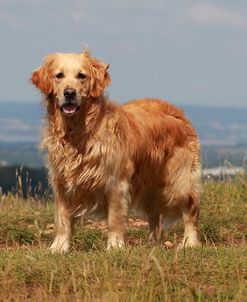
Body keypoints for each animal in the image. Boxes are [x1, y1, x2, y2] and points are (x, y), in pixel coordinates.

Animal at [31, 49, 201, 252]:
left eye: (81, 75)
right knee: (155, 215)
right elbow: (62, 219)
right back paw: (153, 244)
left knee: (190, 209)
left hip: (178, 180)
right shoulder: (62, 182)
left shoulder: (116, 182)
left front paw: (115, 246)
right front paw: (59, 247)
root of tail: (178, 112)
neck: (79, 132)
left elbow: (114, 219)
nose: (69, 93)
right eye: (59, 75)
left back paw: (190, 242)